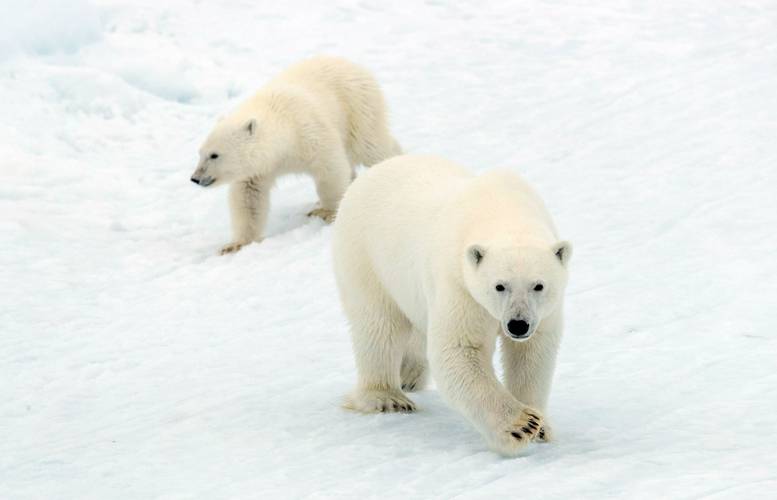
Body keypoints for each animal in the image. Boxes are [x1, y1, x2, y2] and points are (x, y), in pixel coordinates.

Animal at [190, 56, 401, 255]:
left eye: (214, 155)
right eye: (200, 152)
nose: (195, 178)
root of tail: (354, 66)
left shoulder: (310, 134)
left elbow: (330, 169)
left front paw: (326, 212)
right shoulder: (258, 169)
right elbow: (248, 198)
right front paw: (235, 245)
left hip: (358, 108)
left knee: (371, 147)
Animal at [331, 154, 572, 456]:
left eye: (538, 285)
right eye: (499, 285)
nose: (517, 325)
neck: (502, 210)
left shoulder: (544, 312)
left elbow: (532, 354)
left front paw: (541, 428)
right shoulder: (460, 284)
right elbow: (458, 350)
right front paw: (522, 425)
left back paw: (410, 374)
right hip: (366, 258)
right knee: (379, 326)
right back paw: (387, 398)